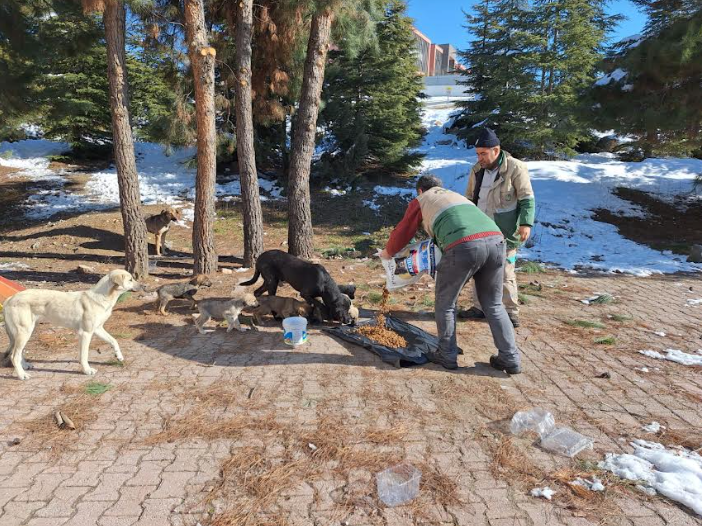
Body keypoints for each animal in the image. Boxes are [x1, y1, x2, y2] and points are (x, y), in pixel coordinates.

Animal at [0, 272, 144, 380]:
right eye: (131, 279)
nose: (144, 286)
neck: (103, 297)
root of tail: (10, 299)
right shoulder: (85, 333)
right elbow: (84, 355)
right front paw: (87, 371)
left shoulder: (97, 329)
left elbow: (114, 341)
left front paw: (119, 356)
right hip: (24, 332)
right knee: (14, 356)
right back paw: (22, 375)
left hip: (27, 332)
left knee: (19, 353)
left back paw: (25, 366)